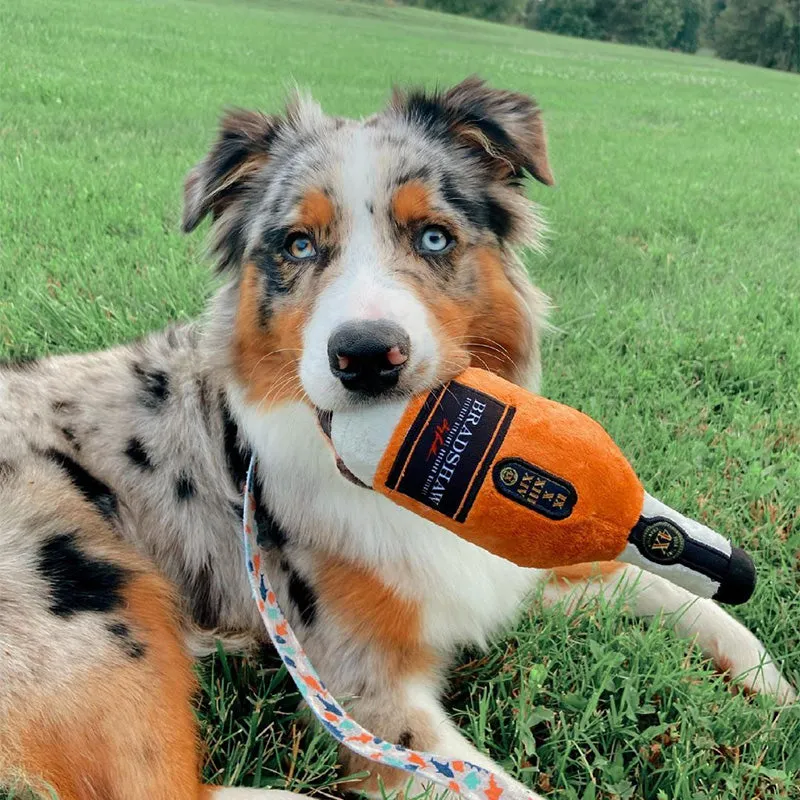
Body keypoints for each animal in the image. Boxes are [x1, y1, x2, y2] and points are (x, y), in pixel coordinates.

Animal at [1, 79, 792, 800]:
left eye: (433, 236)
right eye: (298, 244)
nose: (365, 356)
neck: (401, 495)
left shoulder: (498, 570)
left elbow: (655, 584)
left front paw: (770, 681)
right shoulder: (365, 695)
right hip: (100, 595)